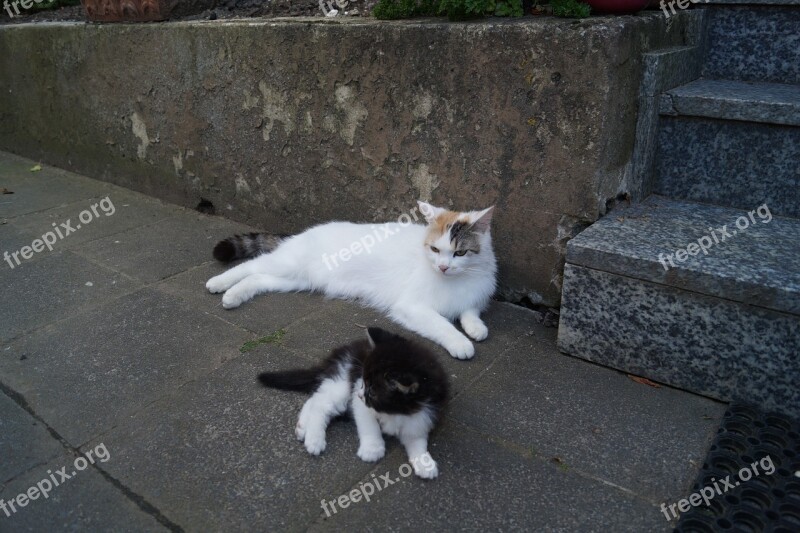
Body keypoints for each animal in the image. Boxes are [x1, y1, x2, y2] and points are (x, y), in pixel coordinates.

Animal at [206, 202, 494, 360]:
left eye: (460, 253)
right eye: (435, 250)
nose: (444, 267)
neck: (456, 279)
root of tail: (302, 233)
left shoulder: (475, 294)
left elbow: (470, 311)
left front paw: (475, 327)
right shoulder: (411, 307)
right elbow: (441, 325)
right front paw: (461, 343)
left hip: (295, 280)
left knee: (258, 278)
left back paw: (234, 296)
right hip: (287, 265)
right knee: (251, 265)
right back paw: (220, 284)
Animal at [260, 326, 446, 476]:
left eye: (373, 391)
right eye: (364, 382)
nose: (359, 394)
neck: (396, 412)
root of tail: (339, 353)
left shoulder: (423, 413)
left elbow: (417, 437)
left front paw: (425, 463)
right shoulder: (359, 399)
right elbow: (369, 425)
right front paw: (372, 449)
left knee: (315, 397)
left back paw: (302, 427)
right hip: (342, 382)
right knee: (321, 404)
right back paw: (314, 439)